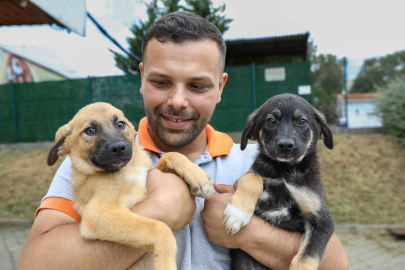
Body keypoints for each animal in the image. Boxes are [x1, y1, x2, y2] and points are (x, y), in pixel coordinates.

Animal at [47, 102, 215, 270]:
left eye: (121, 124)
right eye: (90, 131)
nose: (118, 148)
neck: (127, 168)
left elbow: (170, 155)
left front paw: (199, 178)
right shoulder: (98, 212)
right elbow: (159, 228)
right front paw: (166, 264)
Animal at [223, 94, 332, 268]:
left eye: (302, 121)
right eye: (271, 121)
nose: (285, 145)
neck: (284, 171)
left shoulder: (322, 219)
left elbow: (307, 257)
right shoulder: (242, 180)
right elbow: (253, 177)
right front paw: (238, 213)